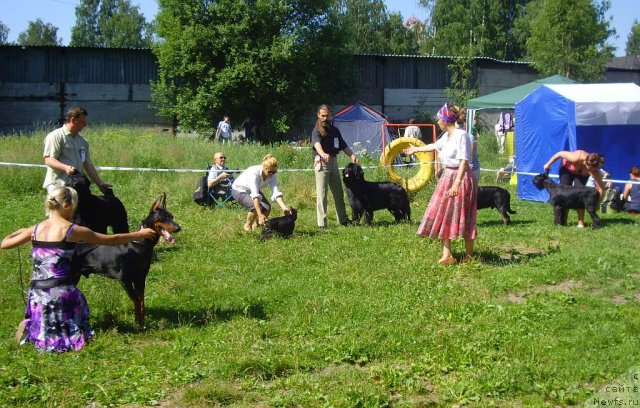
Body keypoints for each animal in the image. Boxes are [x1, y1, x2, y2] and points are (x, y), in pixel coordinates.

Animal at [73, 193, 181, 326]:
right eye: (163, 218)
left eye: (172, 216)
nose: (178, 228)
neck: (140, 244)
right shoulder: (124, 279)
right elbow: (136, 300)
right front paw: (138, 323)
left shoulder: (140, 278)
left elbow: (142, 301)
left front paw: (142, 322)